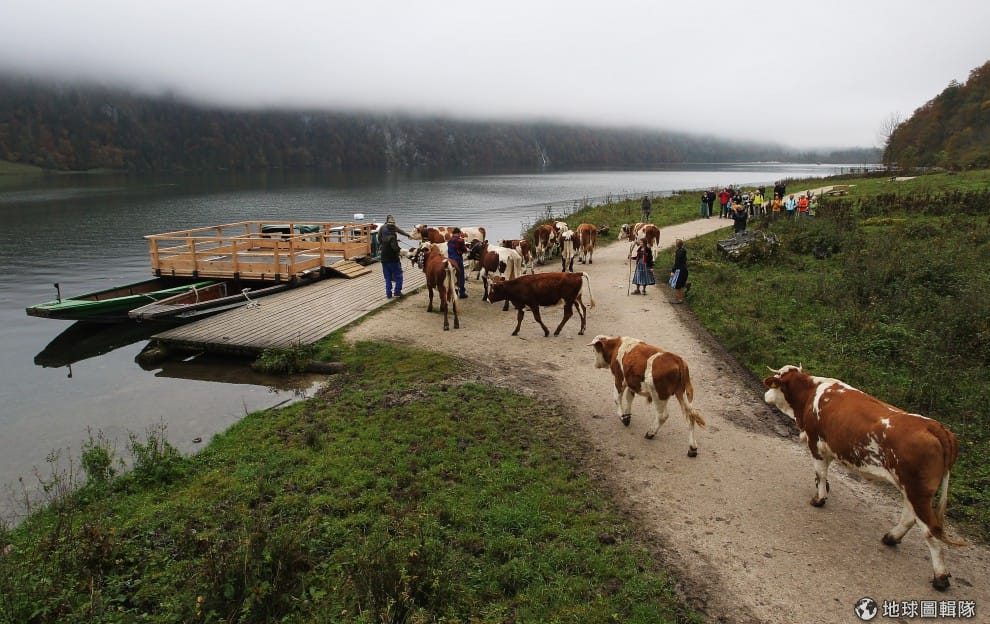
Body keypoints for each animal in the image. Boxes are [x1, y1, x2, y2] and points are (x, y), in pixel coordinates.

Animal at [762, 364, 965, 590]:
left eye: (776, 381)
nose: (765, 395)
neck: (811, 394)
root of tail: (936, 427)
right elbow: (823, 473)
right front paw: (824, 490)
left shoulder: (816, 442)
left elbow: (820, 471)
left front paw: (819, 498)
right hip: (912, 488)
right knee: (910, 517)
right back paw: (891, 538)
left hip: (917, 490)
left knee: (931, 530)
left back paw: (940, 577)